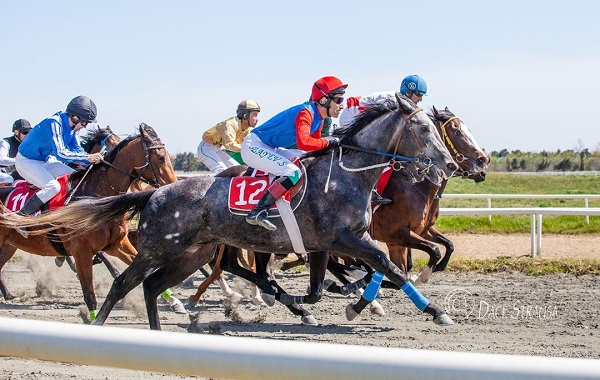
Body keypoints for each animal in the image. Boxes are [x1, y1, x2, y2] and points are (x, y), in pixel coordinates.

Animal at [0, 124, 178, 320]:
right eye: (160, 157)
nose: (174, 185)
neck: (97, 198)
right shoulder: (82, 252)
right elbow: (90, 294)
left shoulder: (117, 244)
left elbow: (142, 269)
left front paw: (174, 301)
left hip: (8, 245)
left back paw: (9, 294)